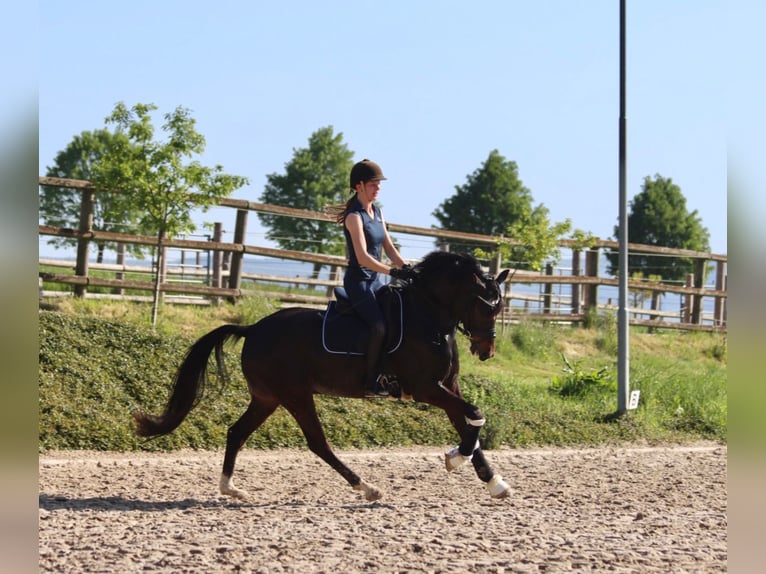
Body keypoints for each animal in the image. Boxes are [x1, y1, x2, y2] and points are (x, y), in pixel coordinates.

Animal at [136, 251, 512, 500]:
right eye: (486, 307)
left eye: (499, 308)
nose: (487, 351)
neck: (429, 317)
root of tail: (253, 329)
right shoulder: (425, 388)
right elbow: (475, 414)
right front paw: (457, 458)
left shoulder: (448, 385)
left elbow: (468, 423)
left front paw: (490, 480)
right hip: (296, 395)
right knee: (318, 443)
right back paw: (367, 487)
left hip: (268, 398)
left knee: (237, 432)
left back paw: (231, 489)